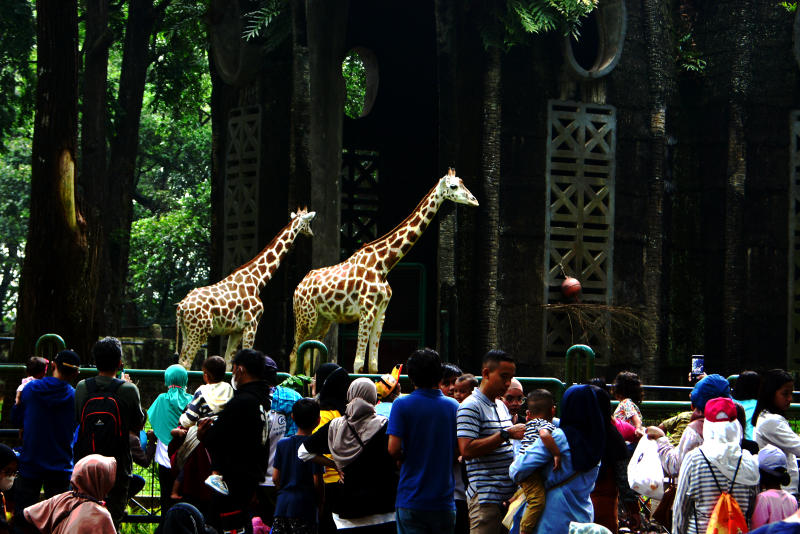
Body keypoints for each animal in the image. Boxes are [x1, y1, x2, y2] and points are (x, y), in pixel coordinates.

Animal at [177, 208, 318, 368]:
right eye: (308, 222)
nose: (311, 234)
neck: (257, 281)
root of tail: (181, 307)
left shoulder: (236, 330)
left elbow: (228, 362)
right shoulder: (251, 324)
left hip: (186, 331)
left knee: (180, 360)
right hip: (199, 331)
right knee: (186, 362)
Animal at [290, 170, 478, 374]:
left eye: (463, 182)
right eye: (453, 186)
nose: (474, 201)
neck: (383, 265)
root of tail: (297, 288)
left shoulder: (381, 313)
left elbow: (373, 365)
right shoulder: (367, 311)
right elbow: (358, 364)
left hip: (322, 320)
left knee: (307, 355)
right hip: (305, 318)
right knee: (294, 354)